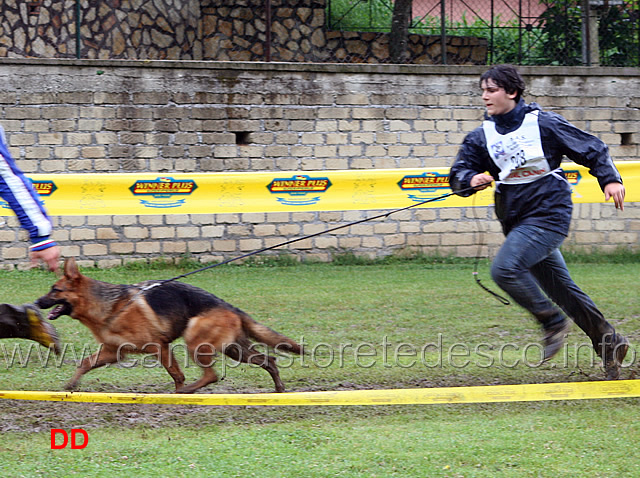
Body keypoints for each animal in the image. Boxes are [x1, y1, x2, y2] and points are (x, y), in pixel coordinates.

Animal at [34, 260, 302, 394]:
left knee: (211, 375)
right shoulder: (113, 352)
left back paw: (187, 392)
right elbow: (85, 363)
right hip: (235, 349)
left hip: (196, 342)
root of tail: (230, 307)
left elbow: (177, 375)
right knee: (269, 360)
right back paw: (279, 389)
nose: (36, 303)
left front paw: (179, 391)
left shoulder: (159, 347)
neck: (108, 305)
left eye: (55, 290)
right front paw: (71, 385)